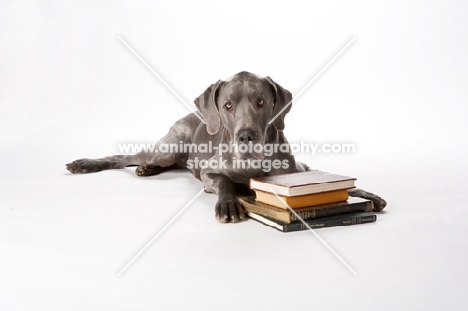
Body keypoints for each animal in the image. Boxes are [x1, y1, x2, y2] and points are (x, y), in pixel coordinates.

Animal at [66, 72, 388, 223]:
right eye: (228, 105)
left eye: (261, 101)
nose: (246, 135)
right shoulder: (210, 173)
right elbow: (224, 182)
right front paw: (229, 204)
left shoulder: (295, 171)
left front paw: (367, 194)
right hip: (169, 146)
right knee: (126, 156)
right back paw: (89, 164)